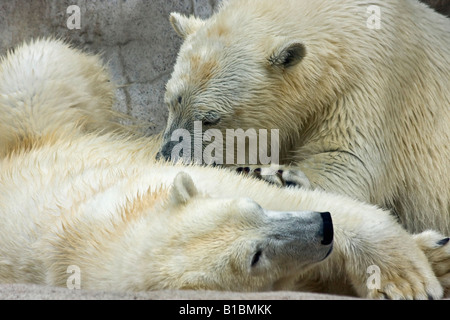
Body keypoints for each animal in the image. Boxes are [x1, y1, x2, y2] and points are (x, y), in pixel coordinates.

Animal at [0, 38, 450, 298]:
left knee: (42, 64)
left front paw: (412, 272)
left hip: (43, 105)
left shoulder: (160, 179)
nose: (323, 227)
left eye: (254, 208)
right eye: (255, 256)